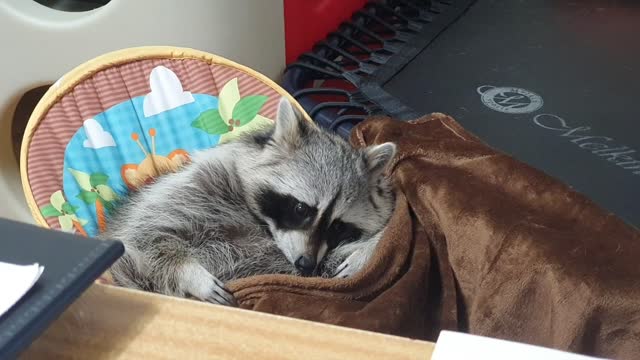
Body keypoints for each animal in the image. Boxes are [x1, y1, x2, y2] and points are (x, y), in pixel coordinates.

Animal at [101, 97, 396, 306]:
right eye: (301, 208)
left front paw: (367, 250)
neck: (260, 223)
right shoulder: (193, 189)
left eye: (337, 226)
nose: (305, 264)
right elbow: (146, 236)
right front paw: (189, 272)